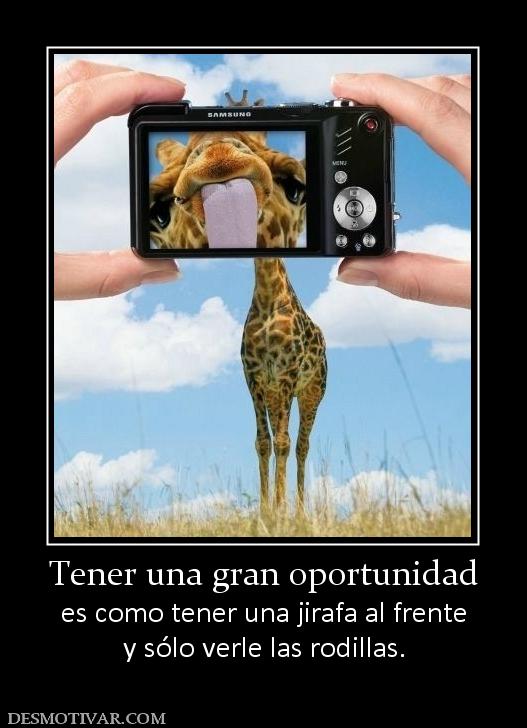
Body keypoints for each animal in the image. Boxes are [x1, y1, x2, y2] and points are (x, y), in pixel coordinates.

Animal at [149, 91, 327, 513]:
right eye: (160, 212)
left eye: (295, 186)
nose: (220, 156)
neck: (268, 301)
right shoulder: (256, 379)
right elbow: (262, 442)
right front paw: (265, 512)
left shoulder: (287, 375)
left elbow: (283, 442)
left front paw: (282, 514)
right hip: (282, 392)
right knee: (286, 441)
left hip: (313, 390)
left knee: (302, 443)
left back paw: (300, 509)